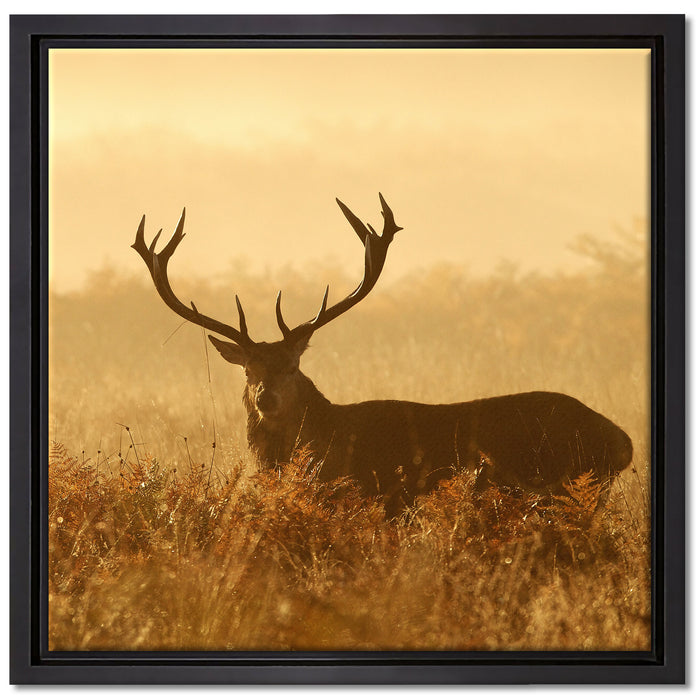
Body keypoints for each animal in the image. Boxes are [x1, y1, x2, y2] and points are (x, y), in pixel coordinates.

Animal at [132, 194, 633, 517]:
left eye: (293, 366)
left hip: (565, 487)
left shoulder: (380, 496)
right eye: (248, 369)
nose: (265, 398)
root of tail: (623, 442)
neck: (328, 442)